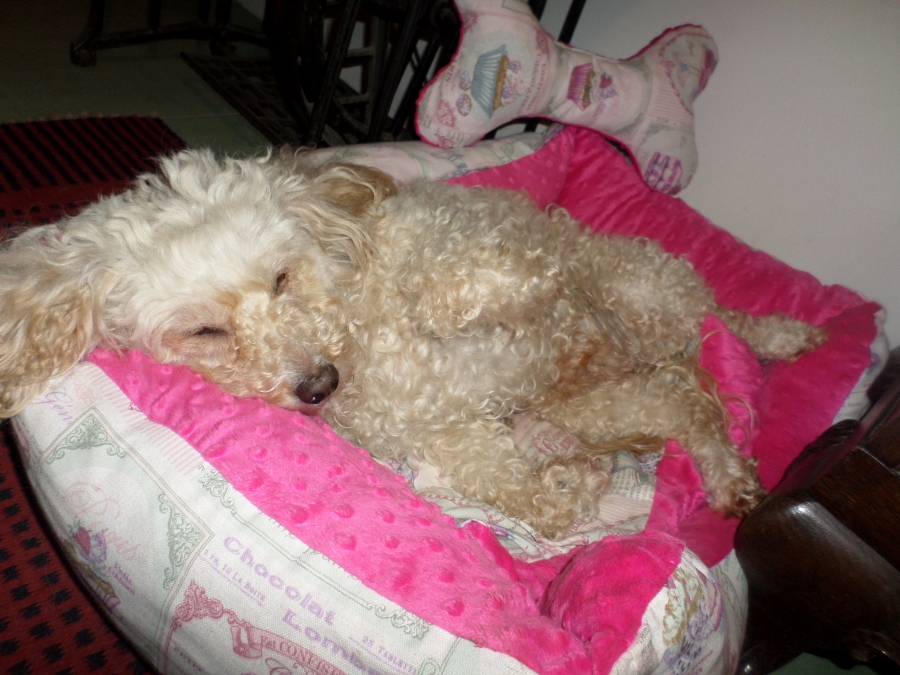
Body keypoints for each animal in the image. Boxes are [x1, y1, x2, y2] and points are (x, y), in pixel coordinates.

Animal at [0, 148, 825, 538]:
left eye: (281, 277)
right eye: (206, 330)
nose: (319, 385)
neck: (361, 335)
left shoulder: (486, 249)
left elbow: (474, 280)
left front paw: (453, 303)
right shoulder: (450, 433)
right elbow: (529, 496)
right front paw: (568, 491)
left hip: (642, 288)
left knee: (710, 328)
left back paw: (774, 338)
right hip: (600, 404)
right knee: (688, 399)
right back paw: (713, 469)